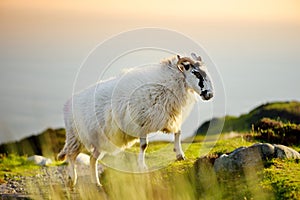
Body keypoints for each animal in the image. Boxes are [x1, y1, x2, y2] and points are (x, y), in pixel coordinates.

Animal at [58, 52, 213, 186]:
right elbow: (144, 145)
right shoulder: (141, 123)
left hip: (98, 142)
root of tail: (67, 104)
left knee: (92, 159)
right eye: (196, 73)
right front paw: (142, 166)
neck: (167, 83)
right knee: (71, 156)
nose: (210, 94)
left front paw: (180, 154)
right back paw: (73, 179)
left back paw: (96, 183)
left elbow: (178, 133)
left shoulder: (167, 118)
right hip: (75, 137)